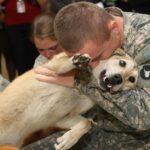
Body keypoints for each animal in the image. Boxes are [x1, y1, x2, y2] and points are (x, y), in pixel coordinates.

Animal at [0, 48, 138, 149]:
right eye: (122, 63)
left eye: (132, 79)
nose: (118, 79)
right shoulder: (49, 67)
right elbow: (64, 64)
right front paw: (77, 60)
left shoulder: (60, 119)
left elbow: (87, 123)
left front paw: (69, 139)